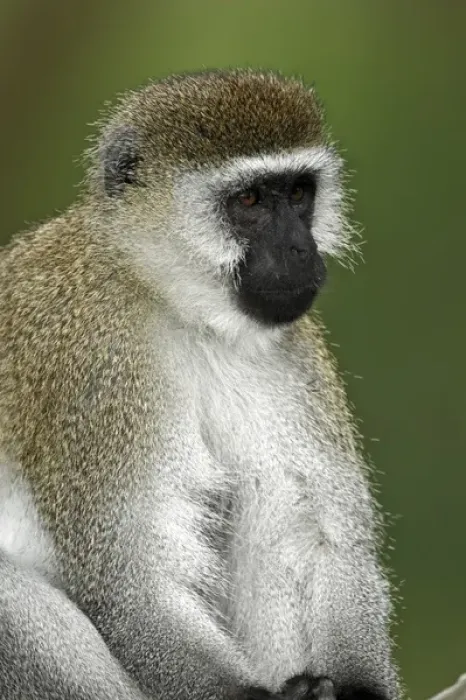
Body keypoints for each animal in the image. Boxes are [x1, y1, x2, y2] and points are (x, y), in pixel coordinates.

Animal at [0, 69, 400, 700]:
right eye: (250, 201)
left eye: (299, 194)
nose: (299, 249)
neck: (173, 301)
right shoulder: (96, 365)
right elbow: (133, 579)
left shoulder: (294, 352)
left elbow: (313, 532)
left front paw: (359, 688)